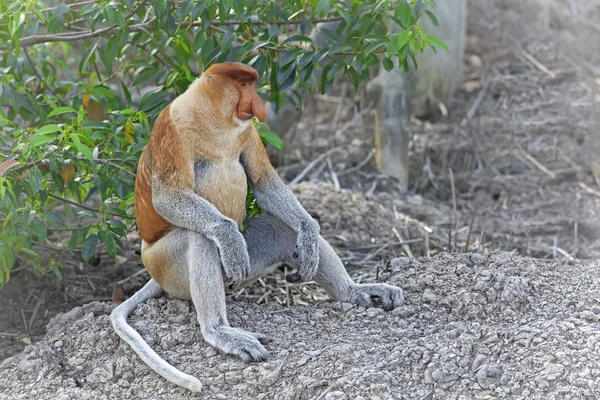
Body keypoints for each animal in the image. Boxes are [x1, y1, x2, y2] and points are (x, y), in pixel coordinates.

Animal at [110, 61, 406, 390]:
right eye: (242, 84)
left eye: (252, 84)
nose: (257, 103)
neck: (214, 118)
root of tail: (152, 273)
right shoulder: (171, 127)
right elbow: (168, 197)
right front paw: (227, 236)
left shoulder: (248, 130)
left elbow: (264, 182)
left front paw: (309, 232)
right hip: (165, 266)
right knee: (199, 239)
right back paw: (220, 331)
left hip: (248, 258)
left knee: (281, 230)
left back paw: (355, 291)